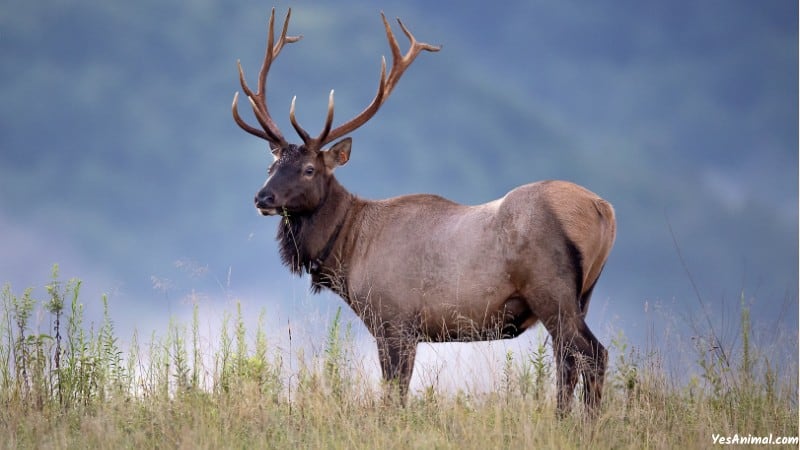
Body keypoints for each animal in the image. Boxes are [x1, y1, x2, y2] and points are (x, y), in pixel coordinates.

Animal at [231, 7, 620, 414]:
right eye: (271, 166)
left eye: (309, 169)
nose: (262, 198)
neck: (348, 251)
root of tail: (603, 209)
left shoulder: (395, 320)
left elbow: (395, 394)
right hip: (581, 295)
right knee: (568, 360)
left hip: (551, 288)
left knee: (593, 354)